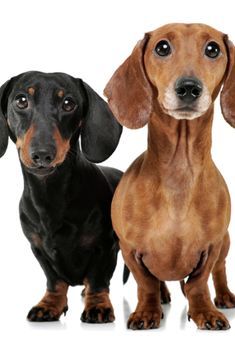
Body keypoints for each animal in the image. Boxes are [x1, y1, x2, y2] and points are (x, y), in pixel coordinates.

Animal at [0, 71, 124, 322]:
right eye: (21, 100)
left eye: (68, 103)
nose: (42, 154)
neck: (51, 196)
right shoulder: (38, 249)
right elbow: (55, 281)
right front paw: (50, 305)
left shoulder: (104, 247)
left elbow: (98, 279)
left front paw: (98, 305)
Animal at [104, 23, 235, 328]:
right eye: (162, 47)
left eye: (213, 49)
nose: (188, 88)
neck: (179, 170)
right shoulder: (129, 249)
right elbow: (146, 283)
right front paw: (147, 311)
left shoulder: (212, 246)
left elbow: (199, 282)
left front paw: (204, 311)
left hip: (225, 242)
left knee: (220, 270)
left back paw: (224, 296)